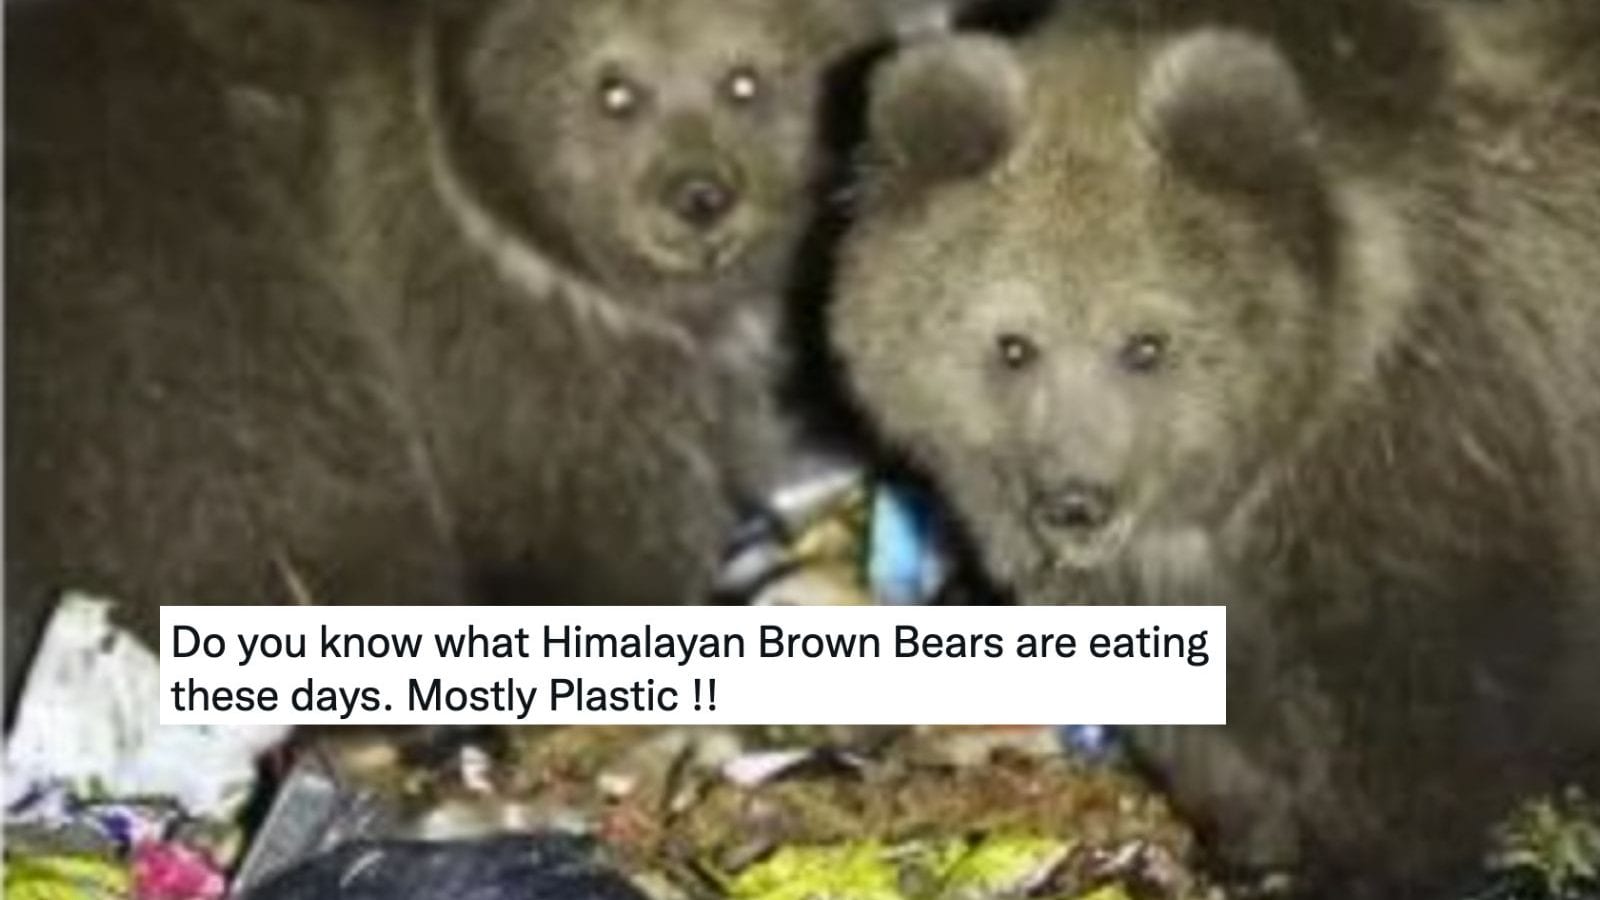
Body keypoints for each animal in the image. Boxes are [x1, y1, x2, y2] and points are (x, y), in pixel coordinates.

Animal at [828, 4, 1600, 897]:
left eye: (1146, 343)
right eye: (1014, 344)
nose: (1076, 503)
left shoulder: (1435, 456)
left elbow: (1442, 713)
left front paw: (1378, 861)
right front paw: (1250, 842)